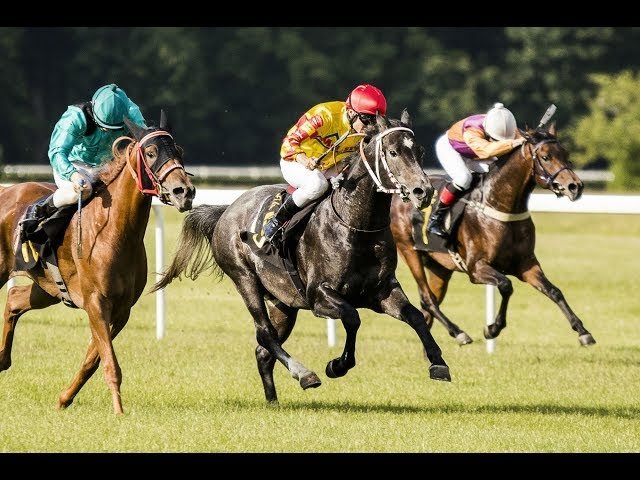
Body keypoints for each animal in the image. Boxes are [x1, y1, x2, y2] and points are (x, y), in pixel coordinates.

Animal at [0, 111, 196, 414]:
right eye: (151, 153)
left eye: (180, 151)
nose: (183, 191)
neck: (114, 232)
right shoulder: (95, 302)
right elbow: (110, 362)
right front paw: (119, 411)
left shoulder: (122, 310)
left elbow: (93, 359)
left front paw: (64, 399)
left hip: (48, 288)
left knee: (14, 299)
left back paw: (2, 360)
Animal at [152, 110, 452, 403]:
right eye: (393, 152)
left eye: (420, 151)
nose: (423, 191)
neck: (357, 226)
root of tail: (227, 210)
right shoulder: (319, 295)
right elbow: (352, 317)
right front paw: (337, 365)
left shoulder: (382, 290)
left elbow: (415, 316)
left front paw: (438, 363)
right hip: (245, 279)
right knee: (265, 333)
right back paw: (305, 374)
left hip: (284, 302)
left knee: (263, 350)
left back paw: (273, 401)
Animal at [390, 123, 596, 347]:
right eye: (546, 156)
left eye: (566, 154)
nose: (575, 186)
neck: (500, 206)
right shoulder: (476, 268)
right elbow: (506, 285)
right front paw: (492, 328)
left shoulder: (526, 265)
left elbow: (554, 291)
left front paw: (583, 331)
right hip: (408, 250)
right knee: (427, 299)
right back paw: (459, 333)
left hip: (440, 267)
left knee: (430, 304)